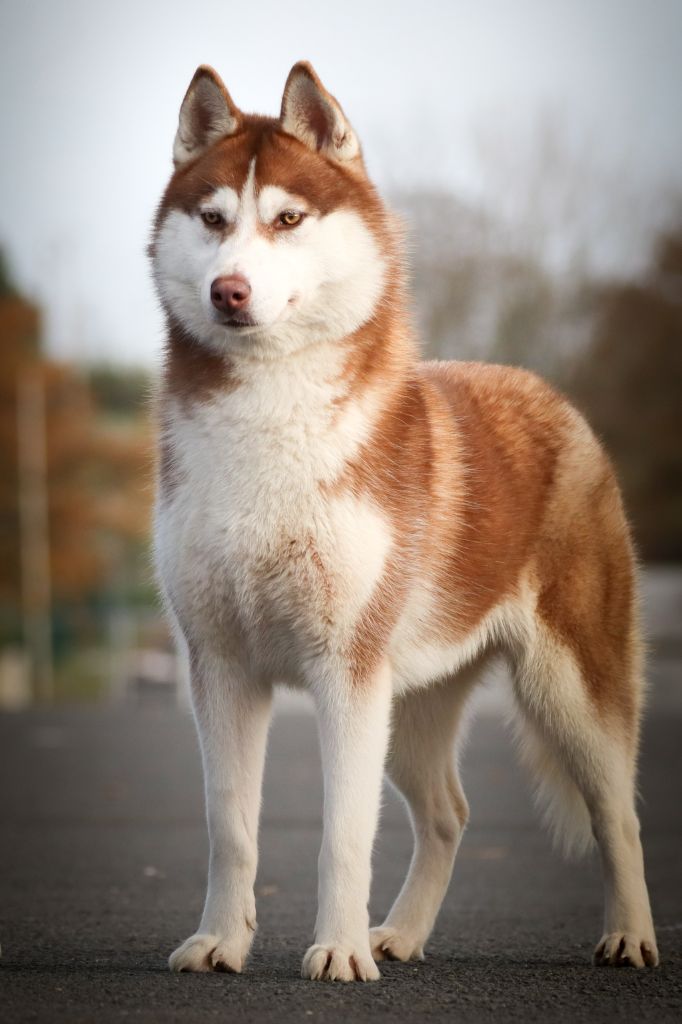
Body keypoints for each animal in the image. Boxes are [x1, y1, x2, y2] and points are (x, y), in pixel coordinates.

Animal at [147, 59, 655, 978]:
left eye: (287, 219)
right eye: (213, 219)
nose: (228, 290)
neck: (268, 426)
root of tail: (548, 394)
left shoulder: (347, 669)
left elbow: (343, 835)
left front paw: (340, 952)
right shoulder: (222, 666)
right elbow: (230, 828)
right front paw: (221, 940)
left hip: (570, 688)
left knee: (616, 813)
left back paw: (630, 934)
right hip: (411, 699)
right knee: (449, 813)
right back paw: (405, 932)